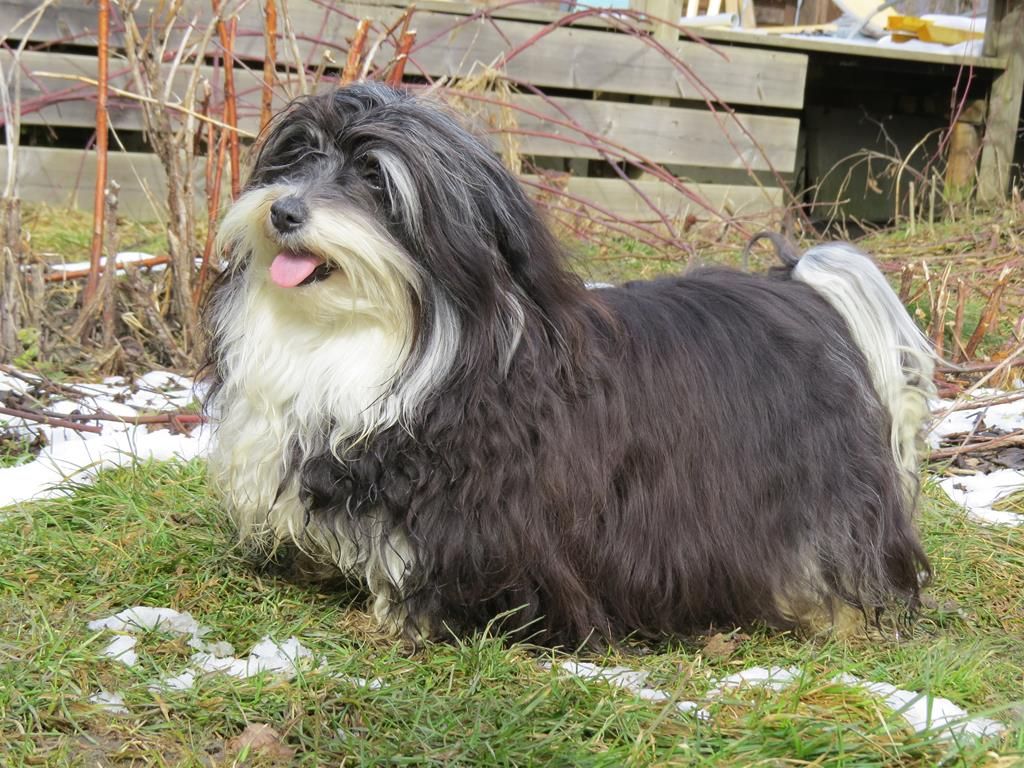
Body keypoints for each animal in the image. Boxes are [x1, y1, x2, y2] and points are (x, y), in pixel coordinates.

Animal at [205, 82, 937, 651]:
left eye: (374, 178)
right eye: (298, 156)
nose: (284, 210)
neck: (391, 334)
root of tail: (803, 288)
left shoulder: (480, 503)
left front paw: (403, 620)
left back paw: (834, 615)